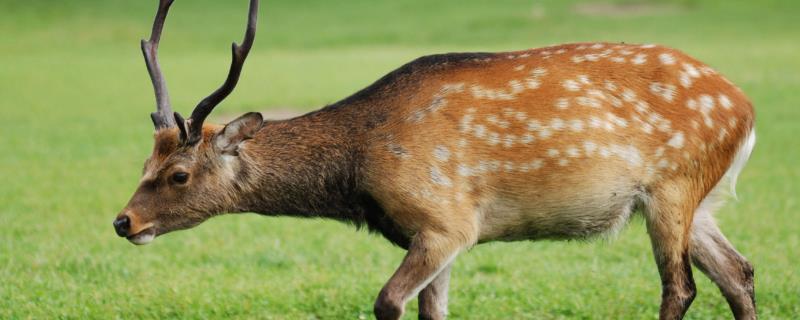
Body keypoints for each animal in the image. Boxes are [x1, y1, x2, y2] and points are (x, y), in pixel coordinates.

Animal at [112, 1, 756, 318]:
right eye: (143, 162)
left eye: (178, 174)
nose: (123, 221)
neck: (360, 173)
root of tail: (745, 109)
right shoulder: (435, 234)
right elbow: (431, 311)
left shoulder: (446, 219)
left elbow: (387, 303)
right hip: (698, 200)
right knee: (739, 273)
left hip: (672, 185)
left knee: (681, 288)